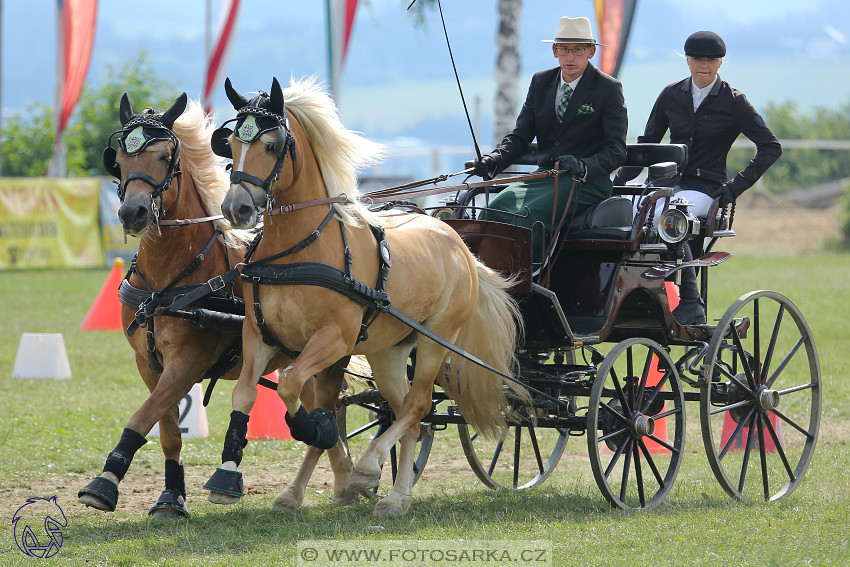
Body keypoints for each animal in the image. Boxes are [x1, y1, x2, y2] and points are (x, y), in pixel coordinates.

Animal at [74, 92, 356, 520]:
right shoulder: (149, 364)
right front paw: (171, 496)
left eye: (163, 156)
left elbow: (142, 415)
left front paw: (104, 481)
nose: (131, 213)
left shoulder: (187, 362)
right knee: (327, 418)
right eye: (118, 160)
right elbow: (168, 432)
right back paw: (348, 482)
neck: (168, 281)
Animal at [205, 77, 524, 520]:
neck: (297, 252)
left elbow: (291, 386)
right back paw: (398, 496)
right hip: (387, 352)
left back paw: (371, 469)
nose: (236, 208)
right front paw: (228, 475)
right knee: (411, 414)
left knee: (418, 405)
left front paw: (317, 431)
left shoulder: (334, 340)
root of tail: (457, 242)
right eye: (232, 143)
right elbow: (246, 393)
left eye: (270, 145)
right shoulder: (260, 335)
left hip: (435, 341)